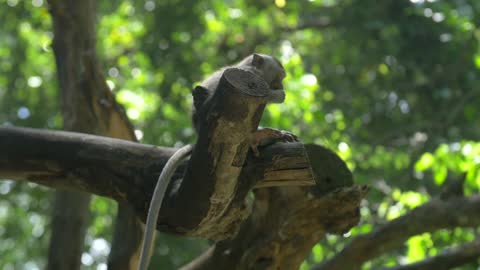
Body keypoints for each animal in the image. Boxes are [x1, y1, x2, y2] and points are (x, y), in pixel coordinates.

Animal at [138, 53, 296, 270]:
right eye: (279, 77)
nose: (281, 85)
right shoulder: (253, 76)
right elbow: (267, 95)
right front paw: (279, 95)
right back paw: (259, 137)